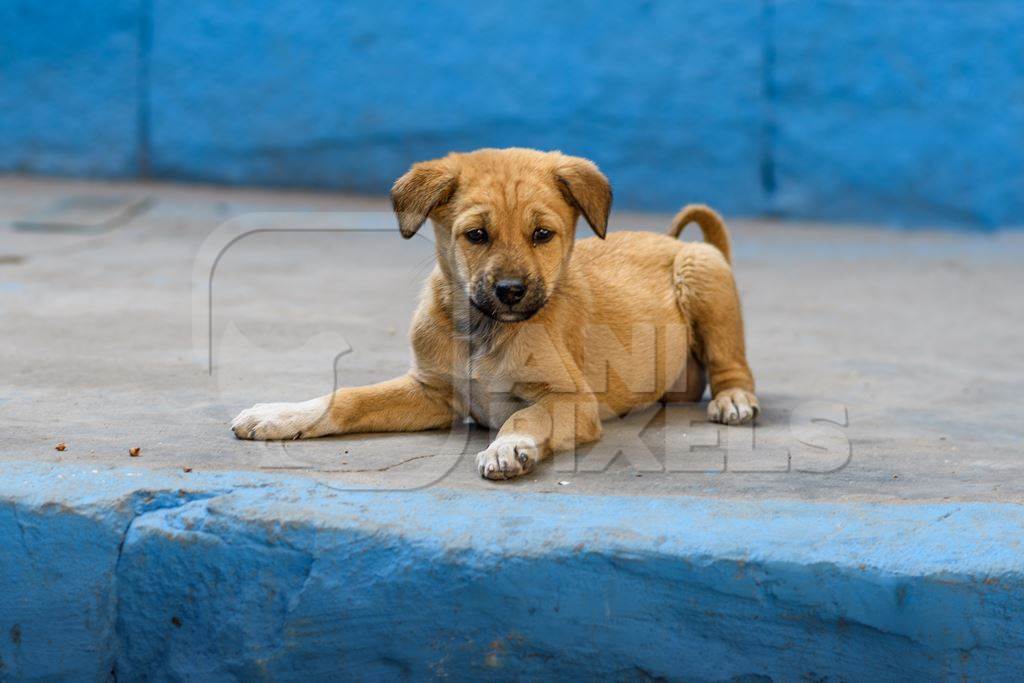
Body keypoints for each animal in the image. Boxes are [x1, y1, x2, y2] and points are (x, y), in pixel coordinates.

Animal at [234, 148, 761, 481]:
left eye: (543, 234)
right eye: (476, 235)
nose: (511, 291)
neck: (482, 331)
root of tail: (678, 242)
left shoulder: (571, 399)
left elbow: (525, 416)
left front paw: (510, 448)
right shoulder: (432, 391)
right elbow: (349, 398)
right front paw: (281, 414)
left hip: (703, 274)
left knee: (733, 364)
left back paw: (734, 400)